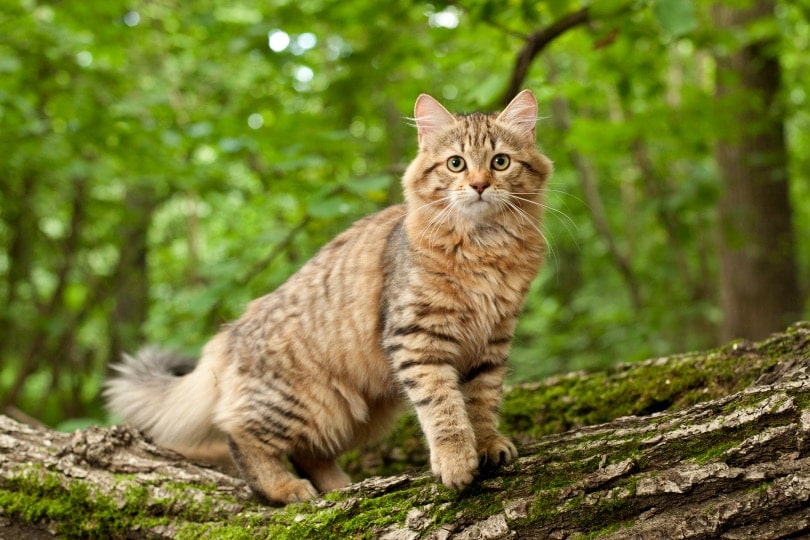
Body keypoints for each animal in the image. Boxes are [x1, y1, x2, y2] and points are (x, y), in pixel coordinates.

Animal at [104, 89, 552, 506]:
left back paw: (340, 488)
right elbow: (443, 408)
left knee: (307, 452)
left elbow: (482, 402)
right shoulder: (418, 339)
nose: (479, 185)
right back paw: (285, 488)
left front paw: (488, 444)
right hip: (303, 402)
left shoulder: (492, 342)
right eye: (456, 163)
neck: (484, 249)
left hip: (356, 412)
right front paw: (456, 461)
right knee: (239, 433)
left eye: (500, 162)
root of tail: (233, 332)